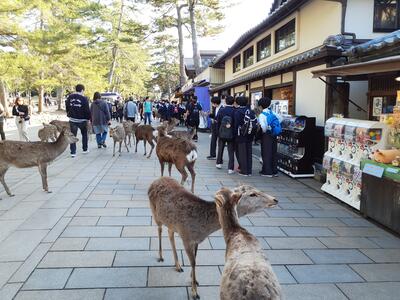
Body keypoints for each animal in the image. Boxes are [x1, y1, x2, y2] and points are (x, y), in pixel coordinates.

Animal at [148, 177, 278, 298]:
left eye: (256, 189)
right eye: (252, 194)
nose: (275, 199)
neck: (203, 229)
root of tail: (156, 180)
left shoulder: (196, 241)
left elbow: (195, 260)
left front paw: (194, 280)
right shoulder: (186, 237)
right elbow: (193, 262)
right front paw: (195, 292)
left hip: (170, 222)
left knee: (170, 233)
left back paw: (178, 265)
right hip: (155, 213)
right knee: (159, 229)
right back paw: (161, 256)